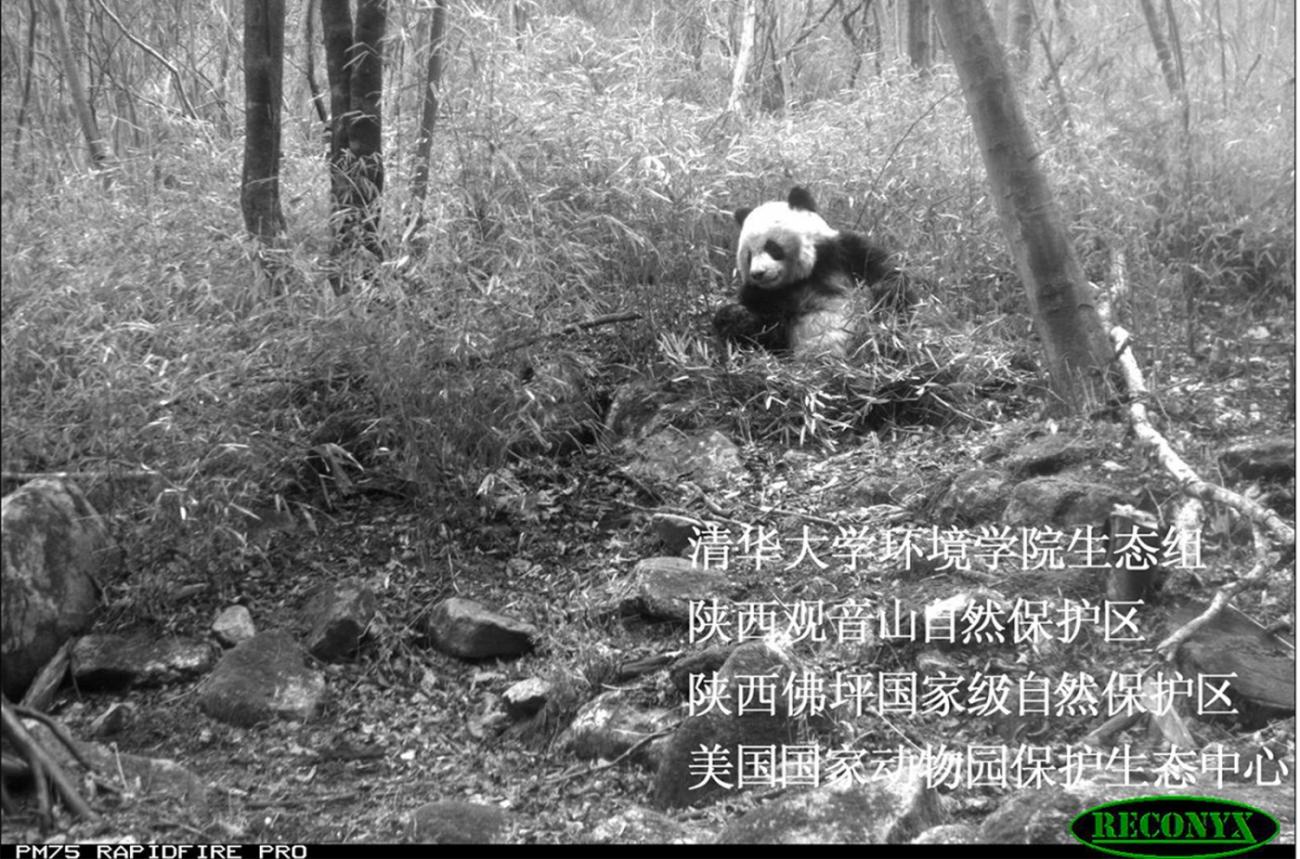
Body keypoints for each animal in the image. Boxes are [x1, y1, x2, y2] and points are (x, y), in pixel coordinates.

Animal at [712, 187, 915, 358]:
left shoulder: (842, 250)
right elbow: (764, 331)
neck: (805, 275)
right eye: (749, 255)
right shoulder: (762, 294)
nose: (758, 274)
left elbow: (887, 273)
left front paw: (879, 295)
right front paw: (738, 317)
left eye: (771, 247)